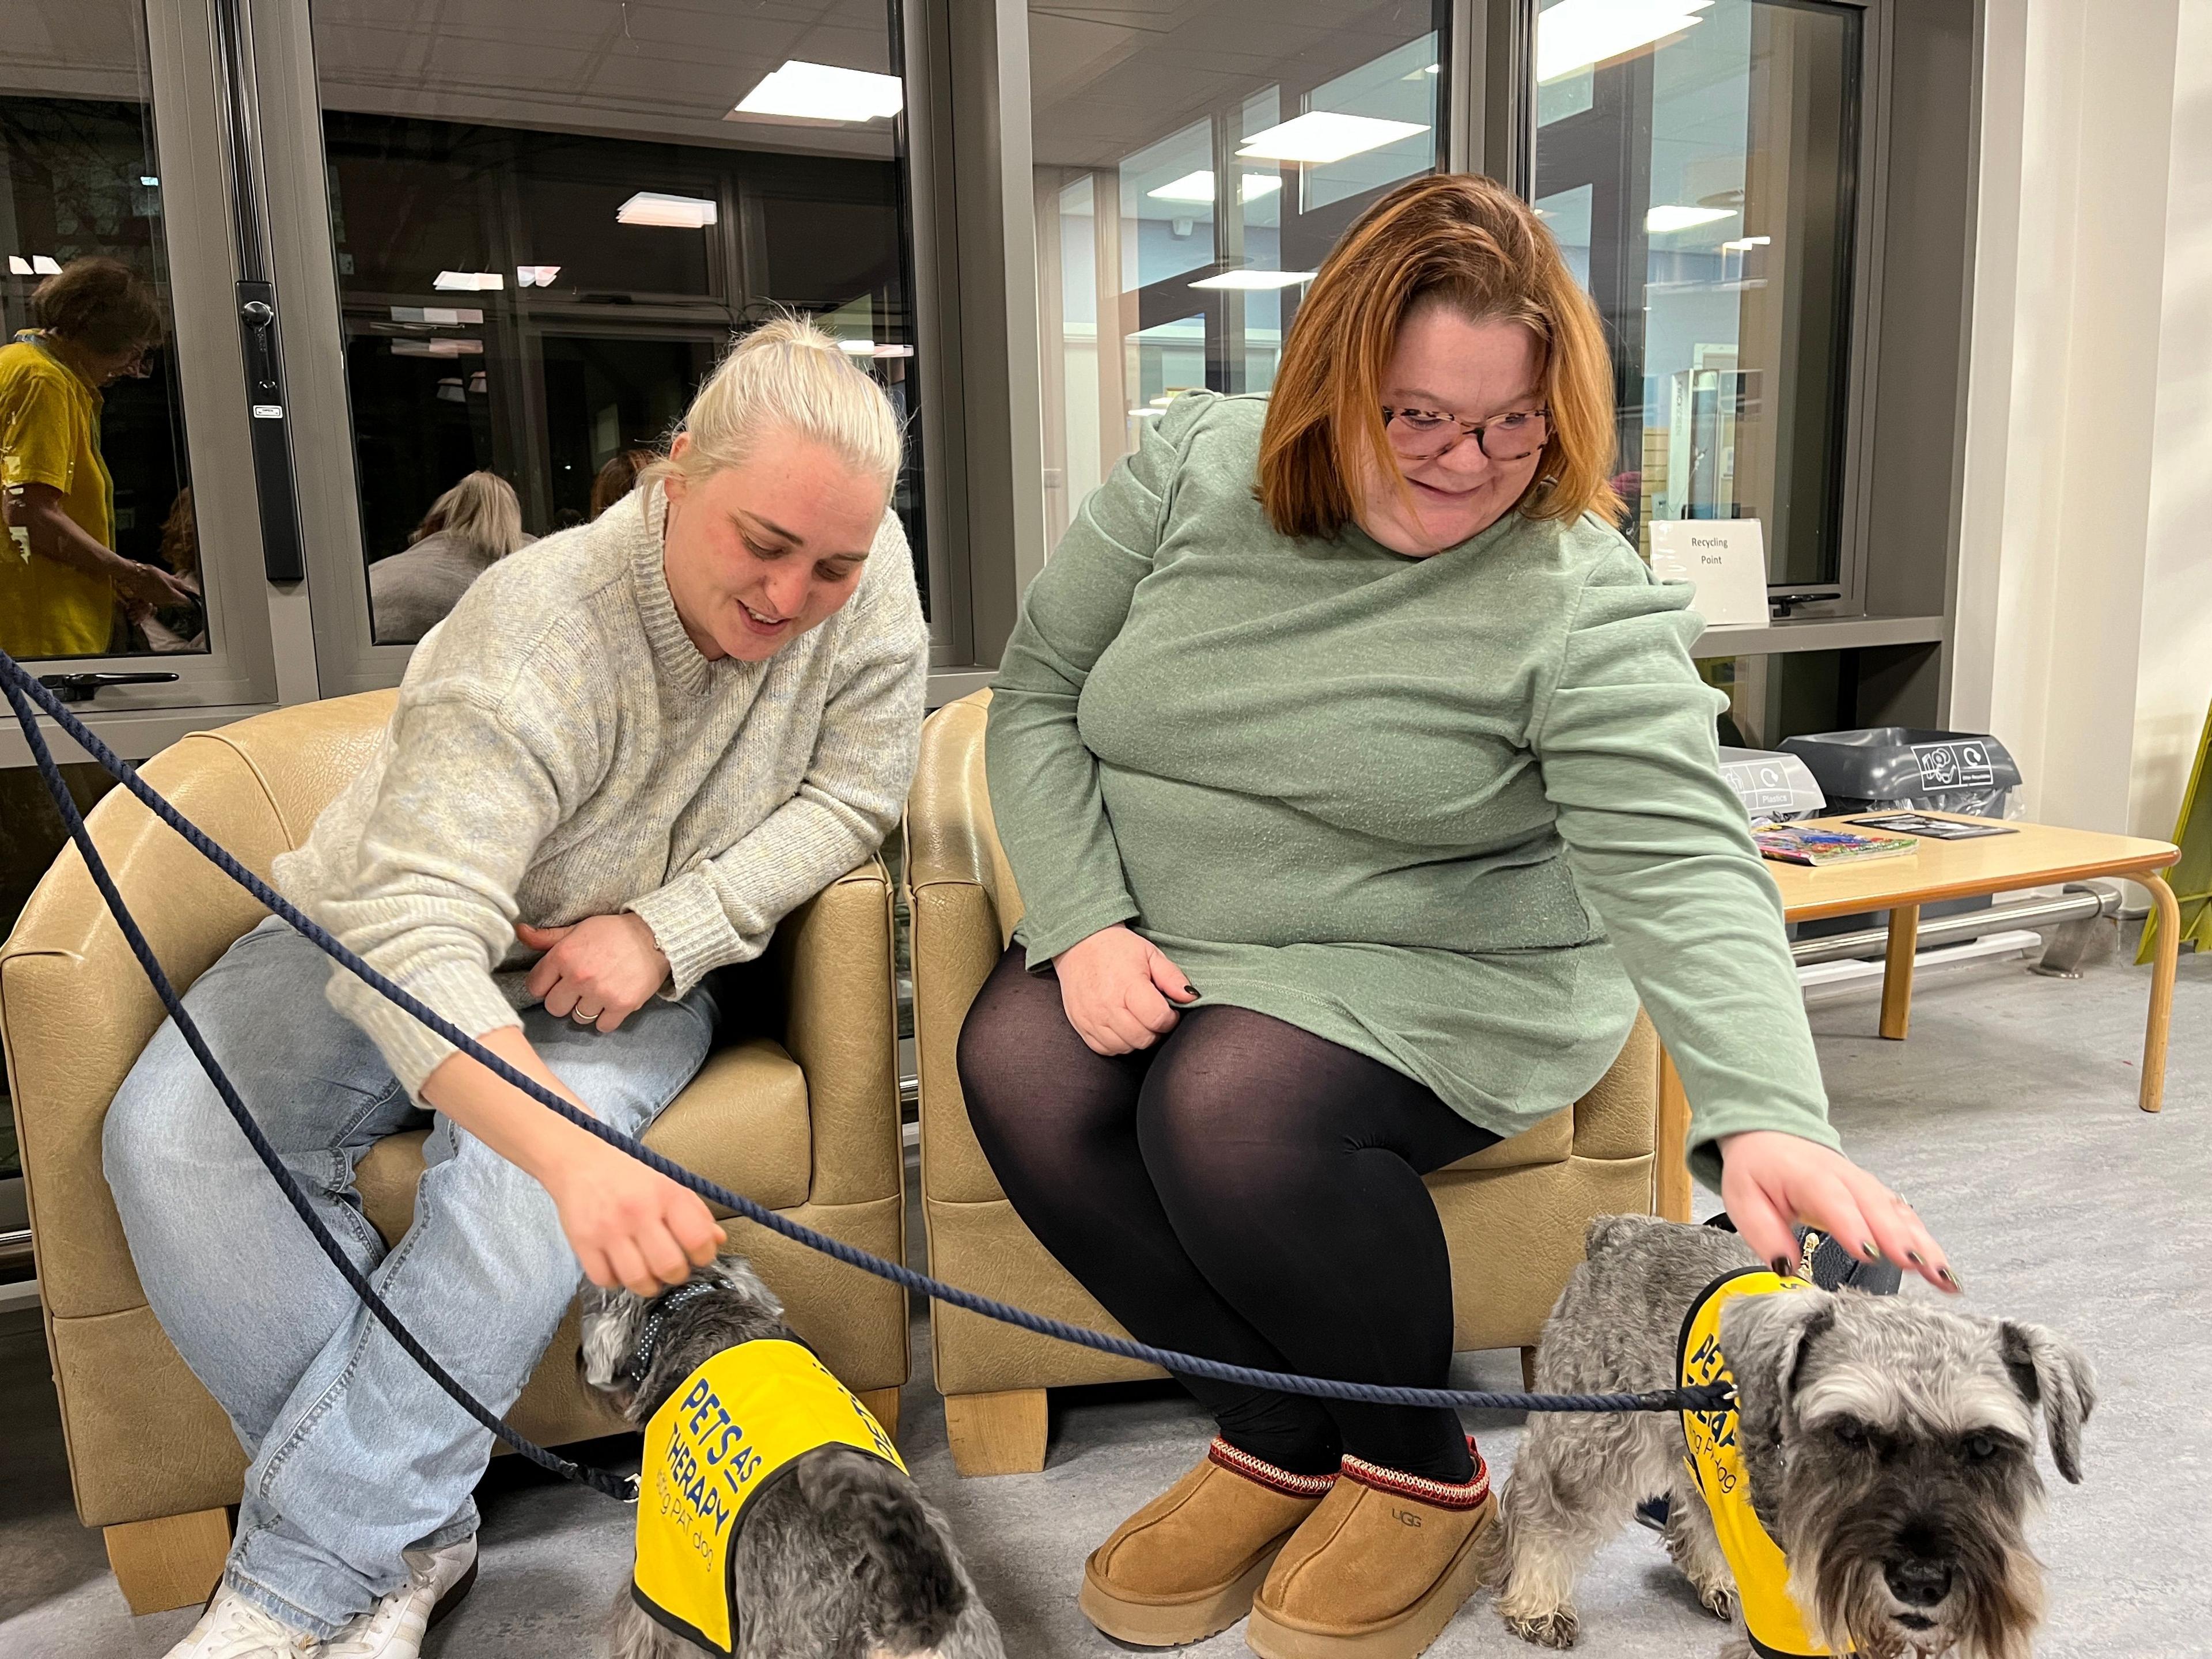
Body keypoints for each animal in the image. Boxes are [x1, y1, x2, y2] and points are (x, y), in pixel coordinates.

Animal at [1486, 1212, 2088, 1659]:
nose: (1921, 1581)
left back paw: (1717, 1576)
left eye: (1983, 1446)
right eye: (1848, 1432)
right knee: (1540, 1508)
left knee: (1695, 1508)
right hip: (1593, 1436)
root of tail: (1619, 1230)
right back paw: (1537, 1602)